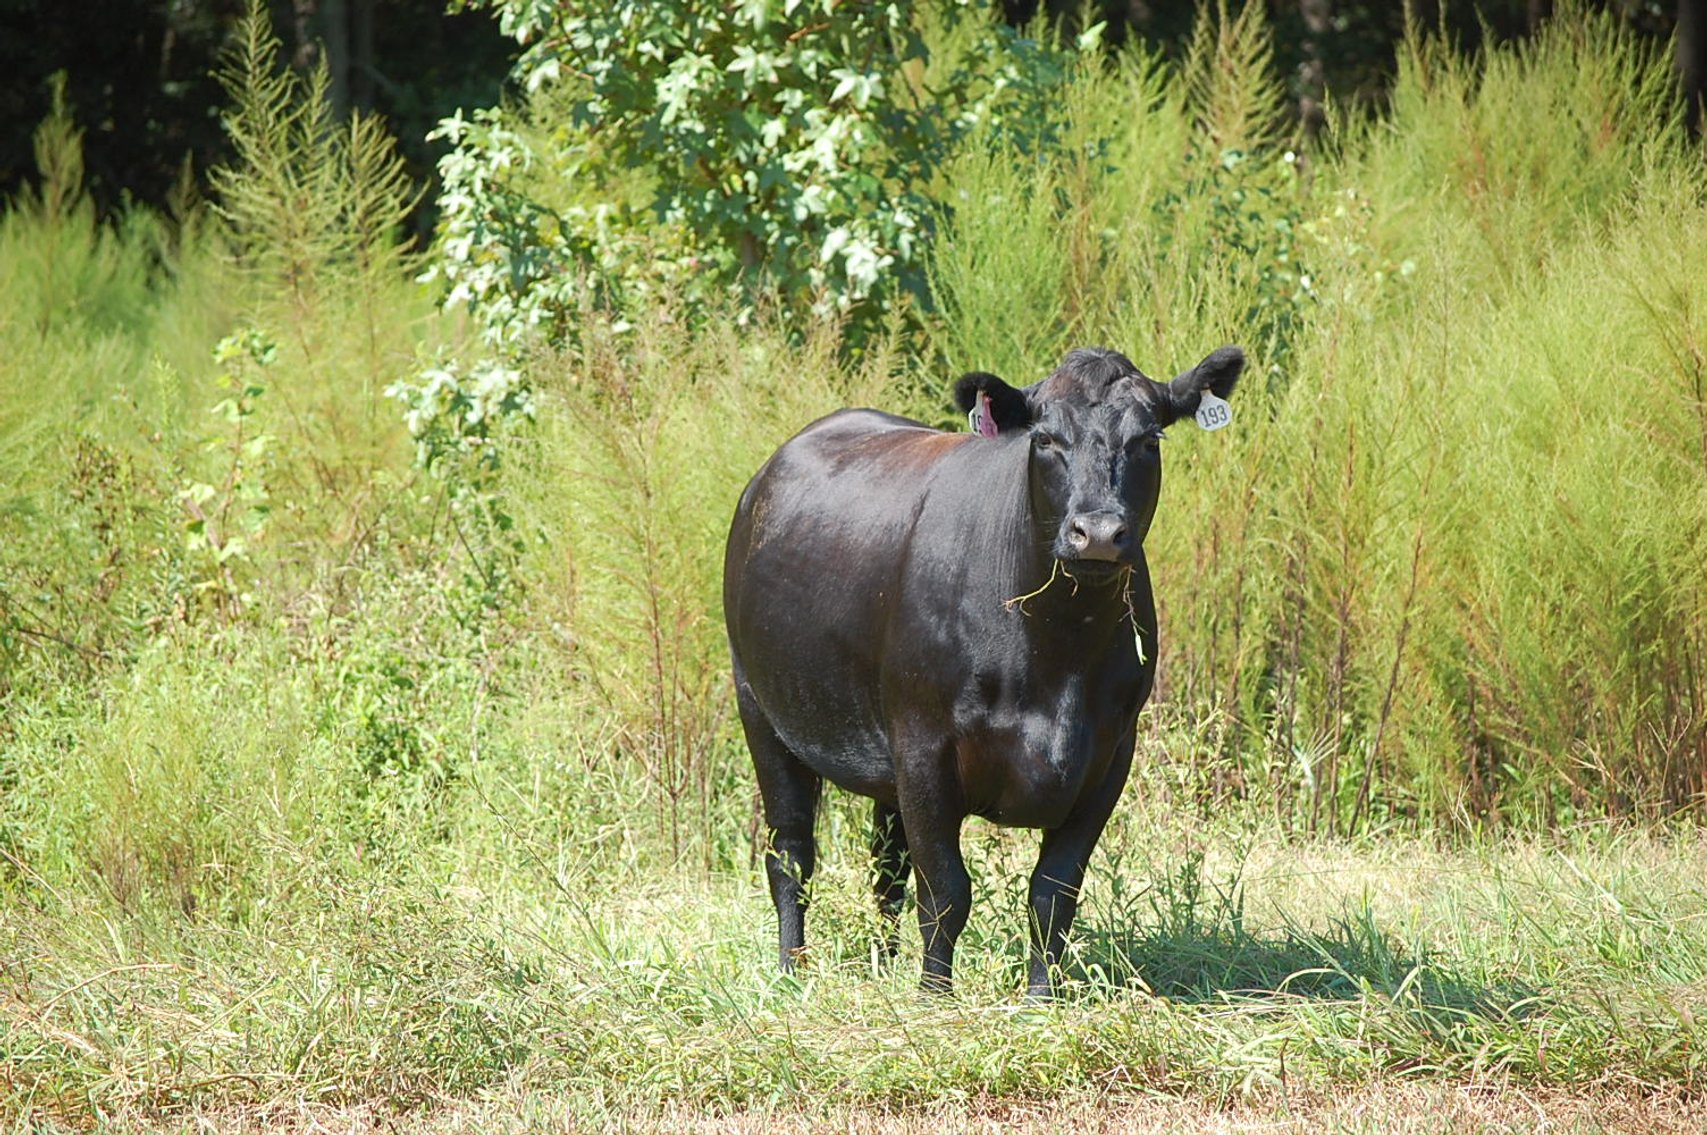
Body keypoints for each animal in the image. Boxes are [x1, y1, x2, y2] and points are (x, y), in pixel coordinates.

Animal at [722, 344, 1244, 996]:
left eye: (1149, 439)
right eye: (1044, 439)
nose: (1098, 533)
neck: (1057, 660)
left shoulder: (1109, 756)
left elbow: (1053, 892)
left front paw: (1041, 999)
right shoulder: (924, 747)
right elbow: (946, 891)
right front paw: (934, 997)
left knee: (887, 867)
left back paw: (881, 963)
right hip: (761, 709)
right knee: (791, 852)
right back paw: (794, 970)